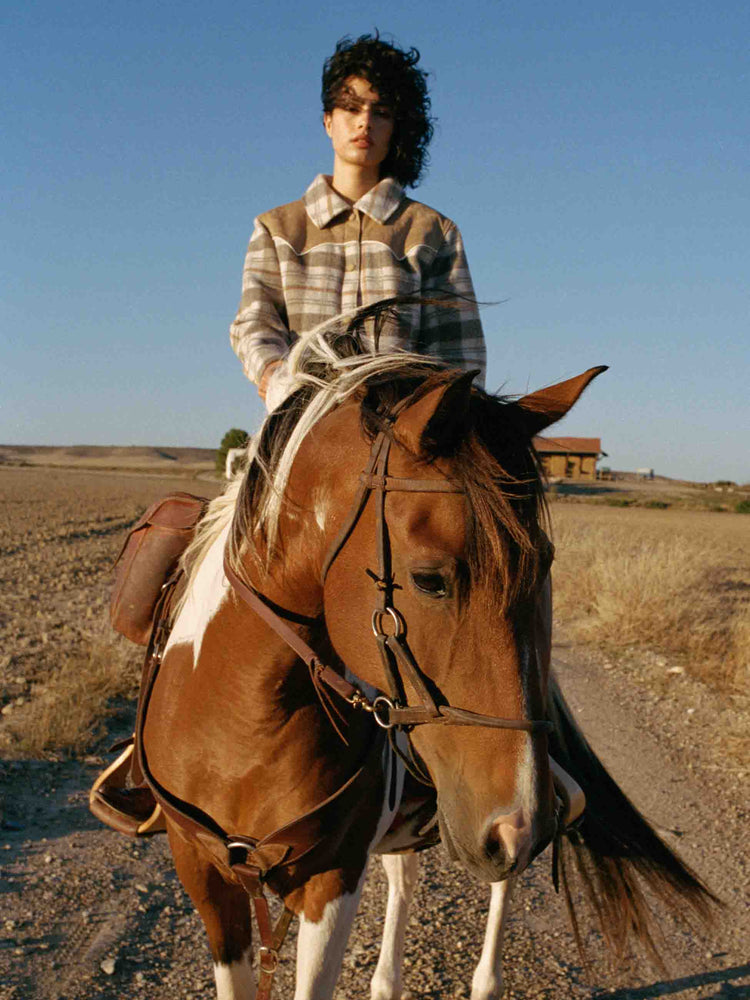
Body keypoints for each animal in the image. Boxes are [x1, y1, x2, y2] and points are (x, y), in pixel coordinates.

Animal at [135, 310, 716, 992]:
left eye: (546, 567)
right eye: (430, 579)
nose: (516, 824)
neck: (236, 728)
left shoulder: (332, 882)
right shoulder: (207, 880)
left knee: (497, 894)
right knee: (407, 876)